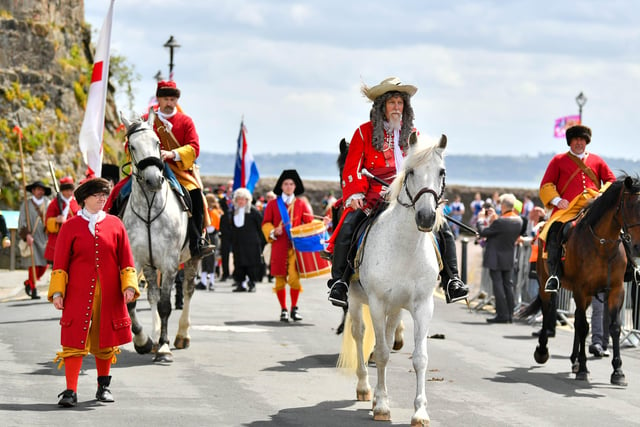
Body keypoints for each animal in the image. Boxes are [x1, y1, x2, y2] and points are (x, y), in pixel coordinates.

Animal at [120, 112, 198, 362]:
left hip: (193, 259)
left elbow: (166, 305)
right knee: (153, 294)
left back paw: (182, 335)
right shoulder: (135, 260)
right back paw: (153, 337)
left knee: (188, 291)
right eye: (132, 146)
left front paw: (164, 348)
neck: (148, 209)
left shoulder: (170, 262)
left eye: (157, 143)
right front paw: (143, 341)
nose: (154, 180)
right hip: (150, 265)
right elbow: (132, 302)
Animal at [338, 132, 448, 426]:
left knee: (385, 336)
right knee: (359, 334)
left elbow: (420, 357)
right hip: (356, 300)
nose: (426, 217)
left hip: (396, 307)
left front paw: (420, 412)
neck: (405, 246)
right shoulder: (377, 303)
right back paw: (365, 388)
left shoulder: (423, 305)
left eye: (441, 172)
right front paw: (382, 406)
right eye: (410, 172)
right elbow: (382, 353)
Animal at [520, 174, 640, 384]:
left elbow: (614, 327)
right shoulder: (581, 289)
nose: (638, 247)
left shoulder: (616, 290)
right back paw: (543, 351)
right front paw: (584, 368)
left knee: (575, 318)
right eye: (632, 206)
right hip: (546, 284)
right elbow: (584, 327)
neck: (603, 244)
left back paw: (574, 360)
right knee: (548, 310)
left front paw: (617, 371)